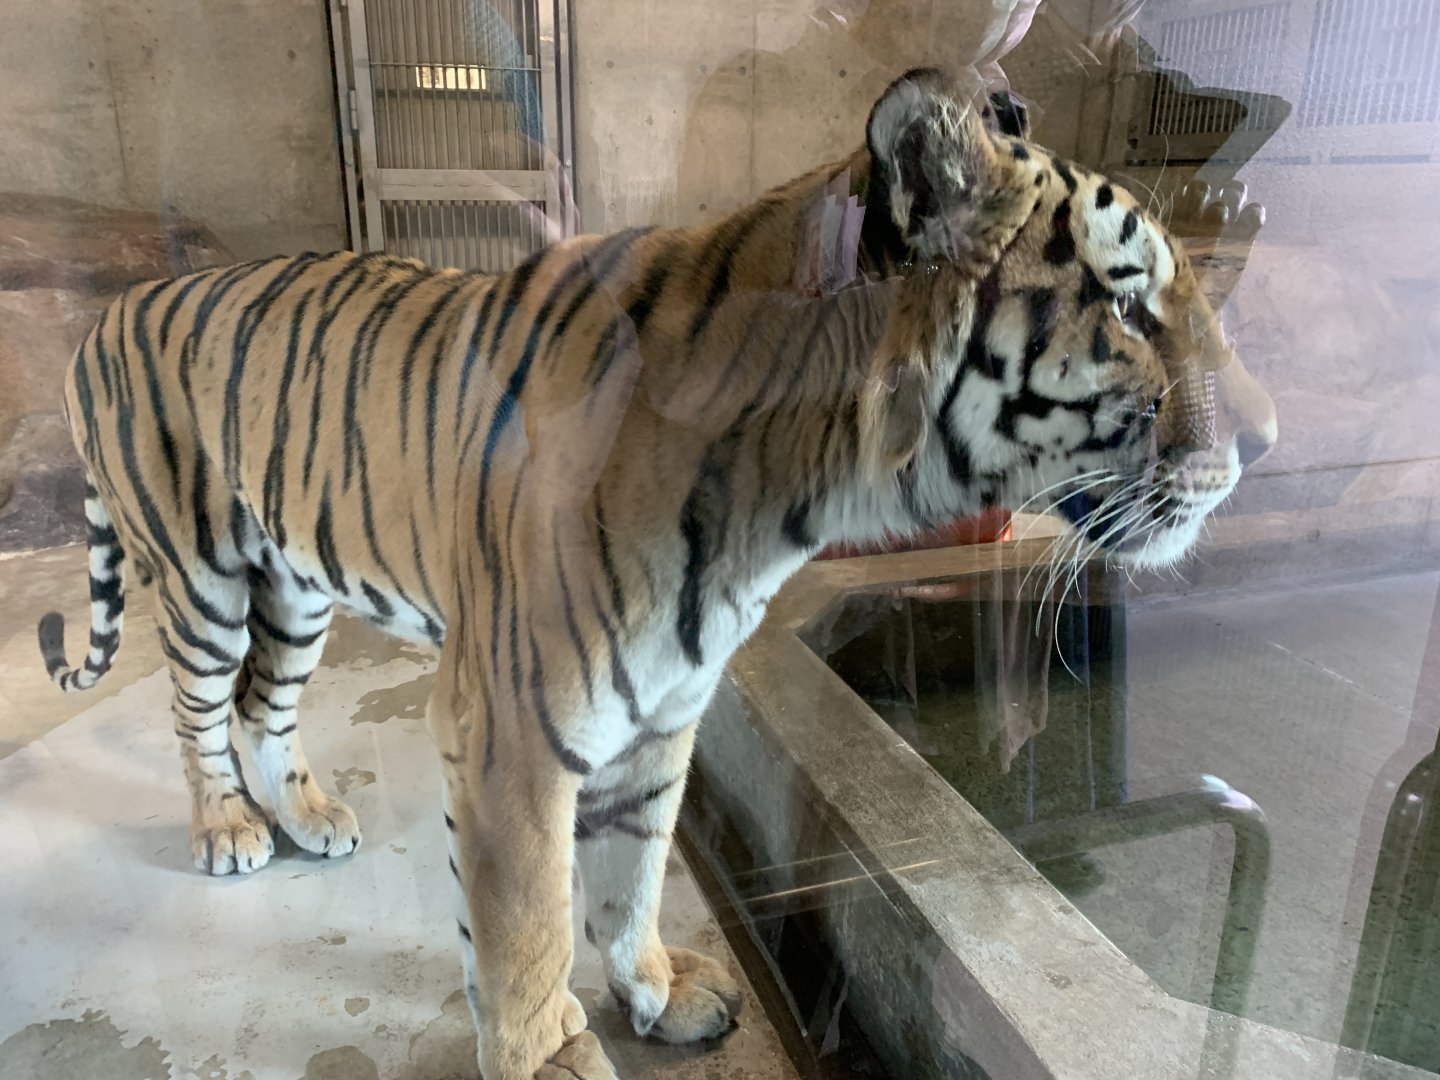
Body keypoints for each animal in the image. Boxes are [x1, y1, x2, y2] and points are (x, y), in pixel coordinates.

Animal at [36, 68, 1275, 1080]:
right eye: (1128, 306)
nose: (1265, 441)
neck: (798, 492)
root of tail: (108, 310)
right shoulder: (510, 732)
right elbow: (530, 922)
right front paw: (550, 1059)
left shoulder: (665, 710)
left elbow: (630, 875)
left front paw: (658, 996)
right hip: (202, 579)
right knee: (198, 711)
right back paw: (229, 829)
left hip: (292, 589)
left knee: (264, 704)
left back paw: (304, 813)